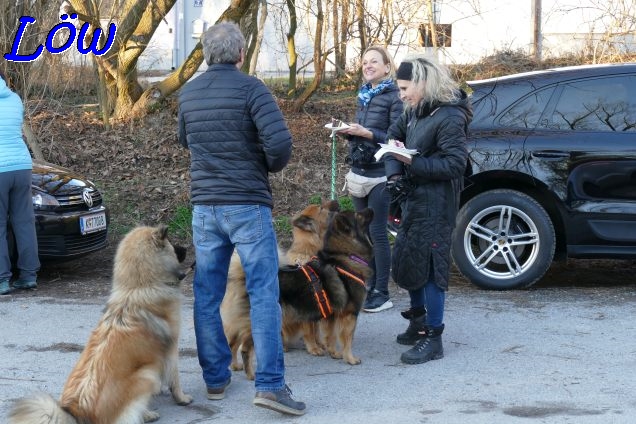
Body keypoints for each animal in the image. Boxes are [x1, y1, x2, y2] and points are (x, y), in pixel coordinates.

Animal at [8, 225, 193, 424]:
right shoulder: (171, 348)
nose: (186, 249)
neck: (138, 288)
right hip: (145, 375)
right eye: (171, 243)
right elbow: (174, 378)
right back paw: (148, 414)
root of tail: (79, 413)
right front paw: (182, 398)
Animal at [220, 200, 338, 380]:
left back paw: (235, 365)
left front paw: (319, 344)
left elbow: (316, 331)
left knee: (232, 344)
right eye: (321, 208)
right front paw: (314, 348)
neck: (307, 251)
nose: (336, 201)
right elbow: (310, 332)